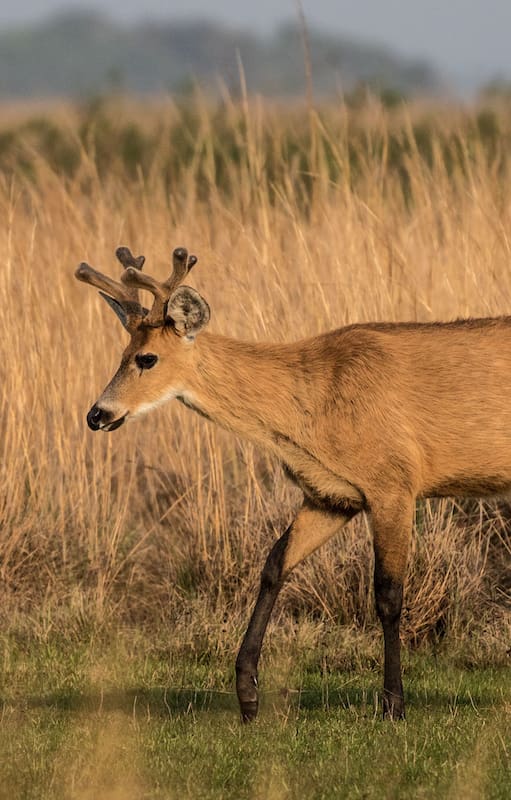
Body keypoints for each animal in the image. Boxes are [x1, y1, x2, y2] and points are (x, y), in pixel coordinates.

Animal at [75, 245, 511, 721]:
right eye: (123, 352)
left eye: (147, 358)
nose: (97, 414)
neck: (309, 405)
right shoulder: (331, 495)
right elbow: (273, 566)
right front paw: (247, 696)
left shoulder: (393, 482)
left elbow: (388, 594)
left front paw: (393, 704)